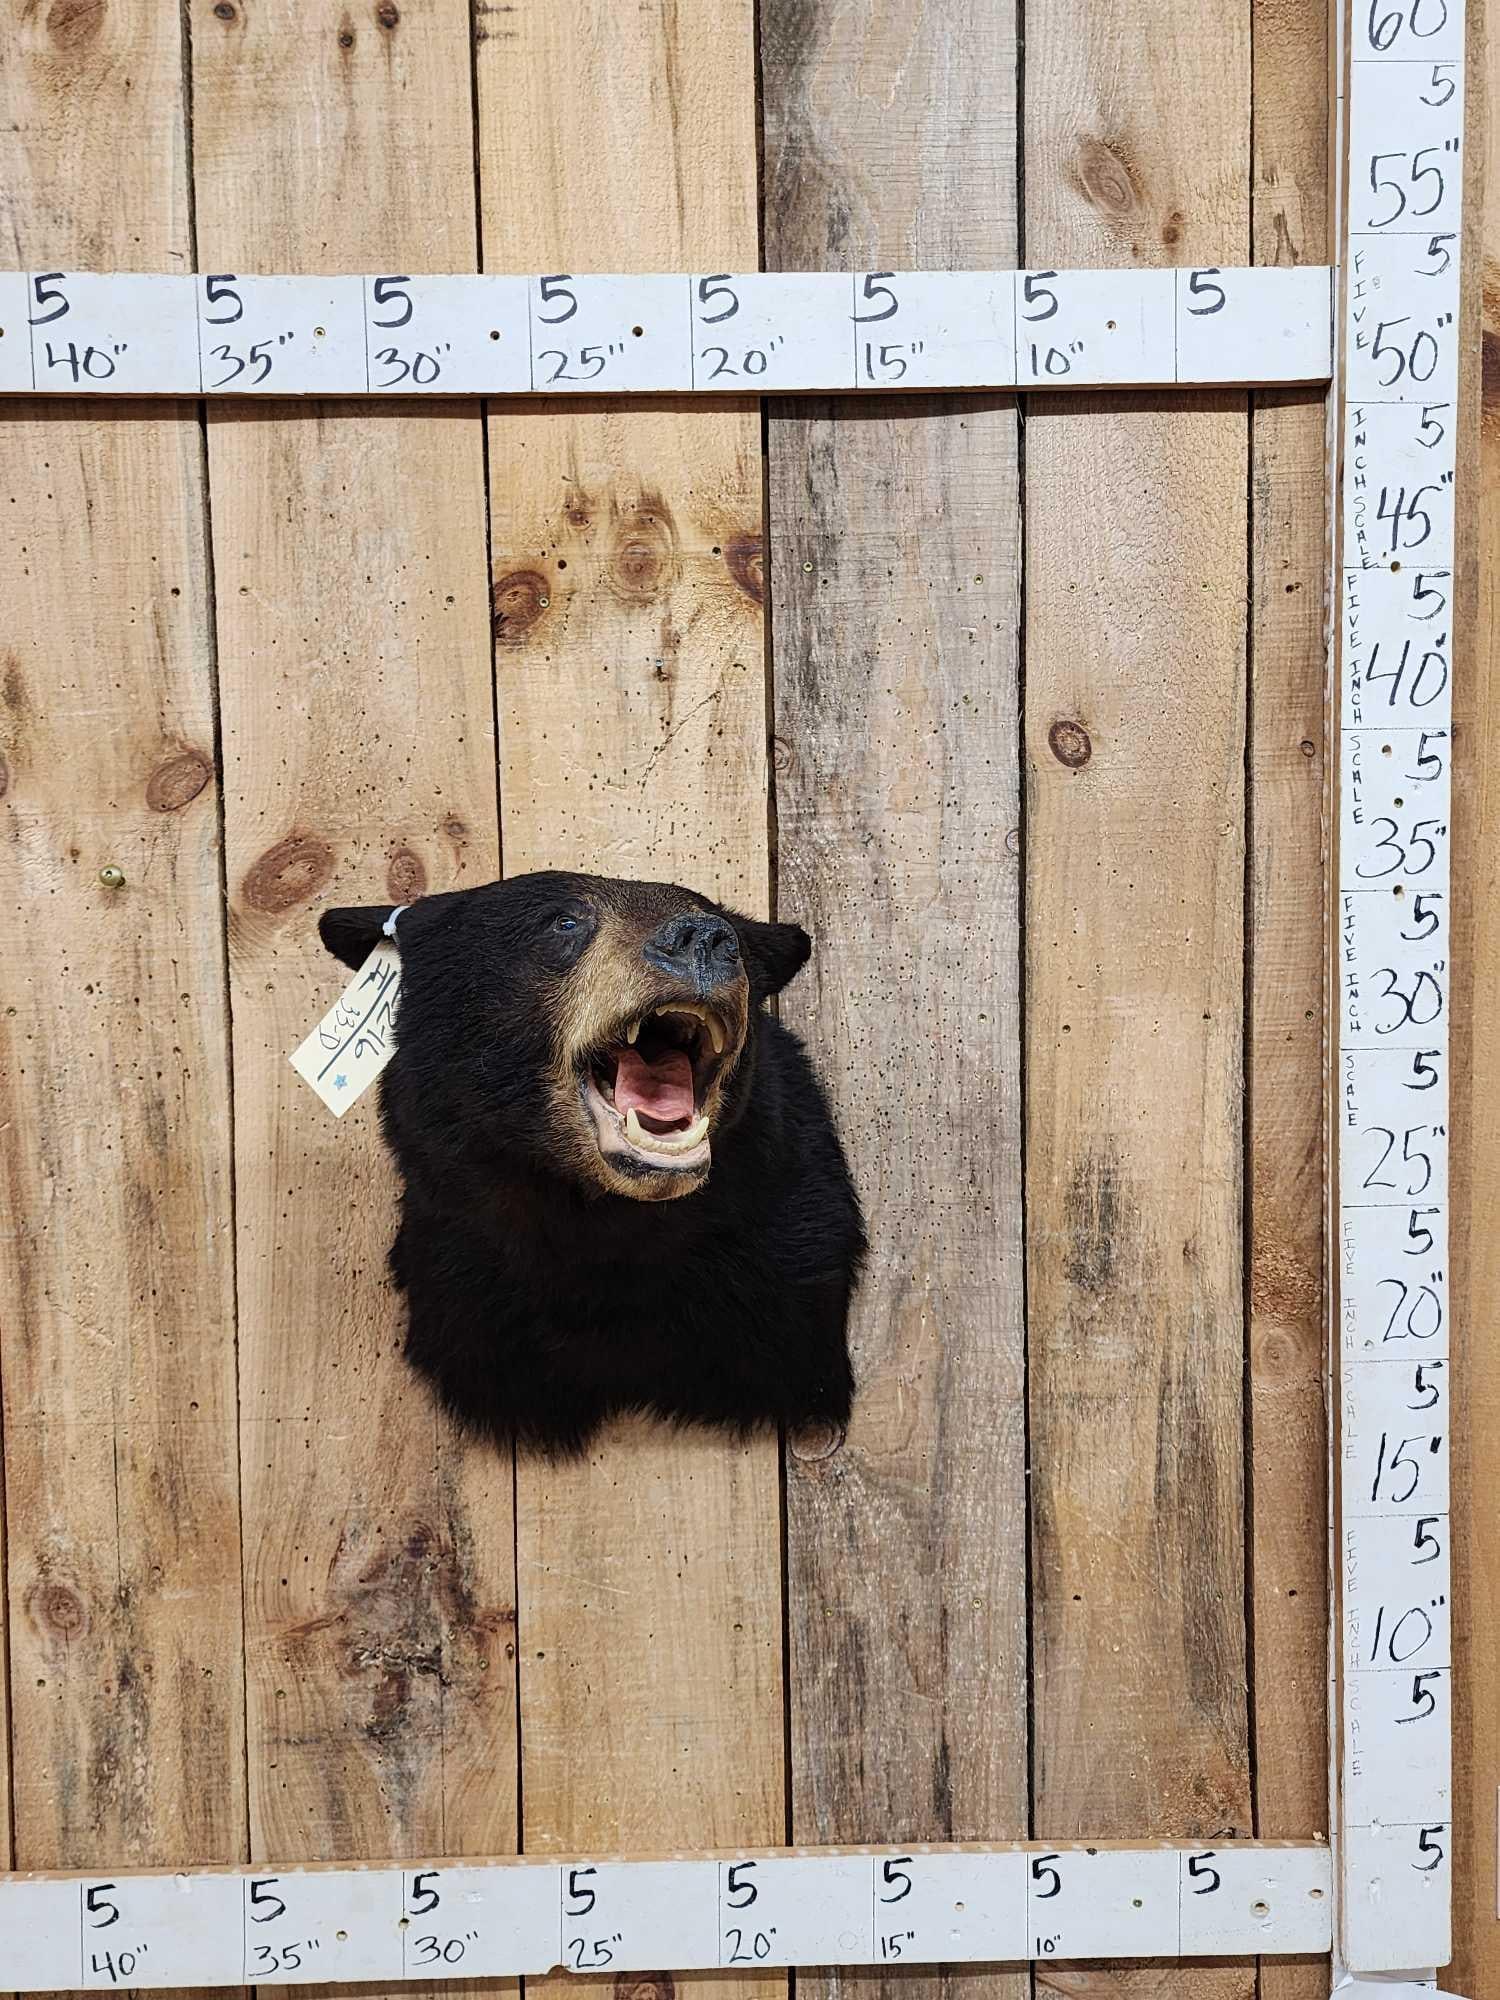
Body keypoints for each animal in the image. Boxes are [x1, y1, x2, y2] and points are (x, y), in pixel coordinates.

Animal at [318, 870, 865, 1456]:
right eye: (563, 922)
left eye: (731, 933)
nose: (704, 939)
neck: (604, 1227)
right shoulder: (465, 1279)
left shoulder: (785, 1251)